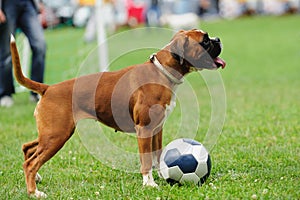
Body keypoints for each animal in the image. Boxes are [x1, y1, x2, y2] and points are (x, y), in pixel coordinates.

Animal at [9, 28, 225, 198]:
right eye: (205, 41)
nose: (218, 39)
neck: (161, 72)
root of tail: (48, 88)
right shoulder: (144, 130)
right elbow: (146, 160)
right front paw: (149, 183)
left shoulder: (157, 129)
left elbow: (157, 155)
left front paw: (160, 175)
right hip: (57, 135)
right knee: (31, 162)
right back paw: (34, 192)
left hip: (50, 134)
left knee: (28, 149)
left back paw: (36, 178)